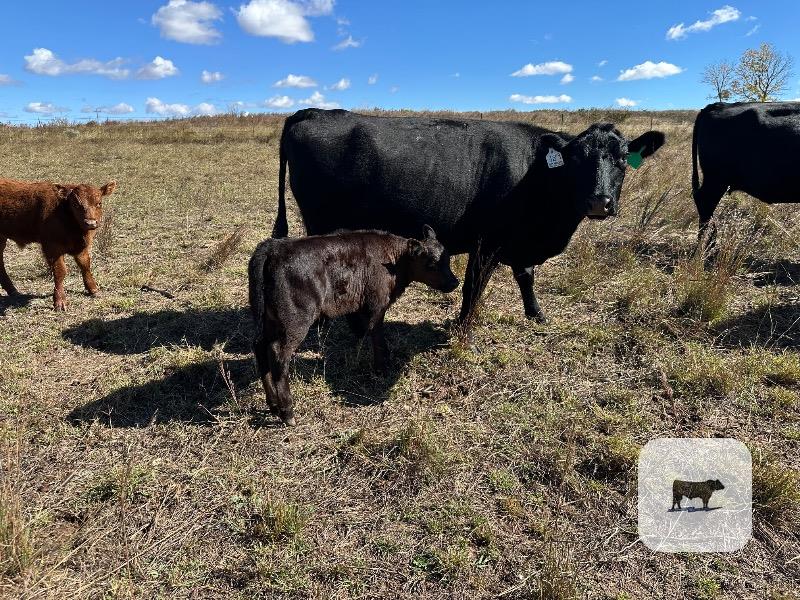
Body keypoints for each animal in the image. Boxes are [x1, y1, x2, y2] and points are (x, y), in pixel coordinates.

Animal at [0, 178, 116, 311]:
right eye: (76, 204)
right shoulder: (52, 247)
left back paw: (13, 291)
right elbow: (60, 271)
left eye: (99, 203)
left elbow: (85, 265)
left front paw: (93, 289)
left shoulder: (81, 247)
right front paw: (60, 301)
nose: (90, 223)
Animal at [248, 226, 459, 425]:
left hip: (270, 321)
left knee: (260, 347)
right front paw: (381, 369)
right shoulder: (377, 306)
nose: (454, 282)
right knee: (277, 354)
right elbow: (377, 338)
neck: (393, 259)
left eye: (447, 260)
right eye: (431, 264)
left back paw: (273, 405)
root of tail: (273, 248)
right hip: (294, 323)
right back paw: (287, 412)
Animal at [272, 109, 665, 327]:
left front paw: (536, 314)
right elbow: (473, 286)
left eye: (622, 158)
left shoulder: (519, 241)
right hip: (321, 223)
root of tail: (312, 111)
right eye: (578, 159)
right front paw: (462, 327)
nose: (600, 201)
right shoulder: (487, 242)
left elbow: (526, 276)